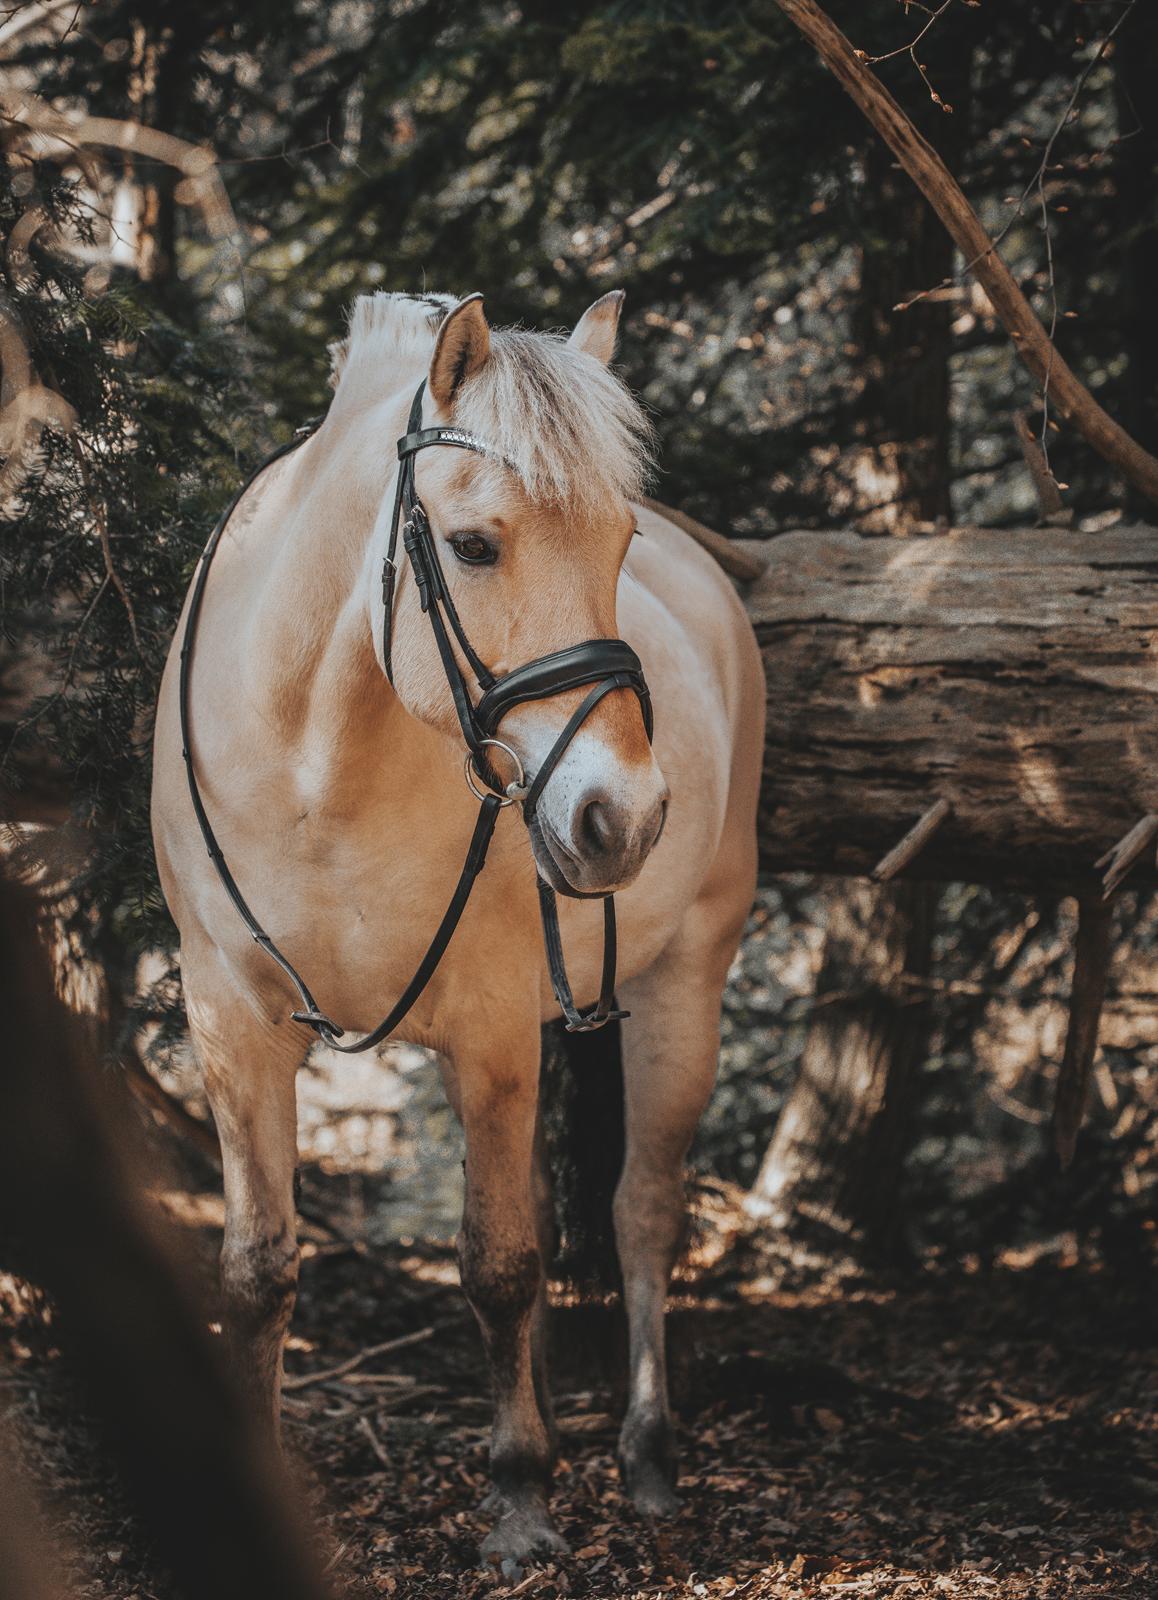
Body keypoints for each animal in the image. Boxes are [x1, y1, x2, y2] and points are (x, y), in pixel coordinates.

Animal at [151, 288, 767, 1561]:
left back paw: (644, 1454)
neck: (315, 763)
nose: (624, 818)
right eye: (477, 545)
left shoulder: (487, 1024)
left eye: (620, 544)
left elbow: (500, 1263)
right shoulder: (231, 1023)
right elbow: (259, 1270)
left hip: (685, 980)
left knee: (640, 1210)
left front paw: (522, 1493)